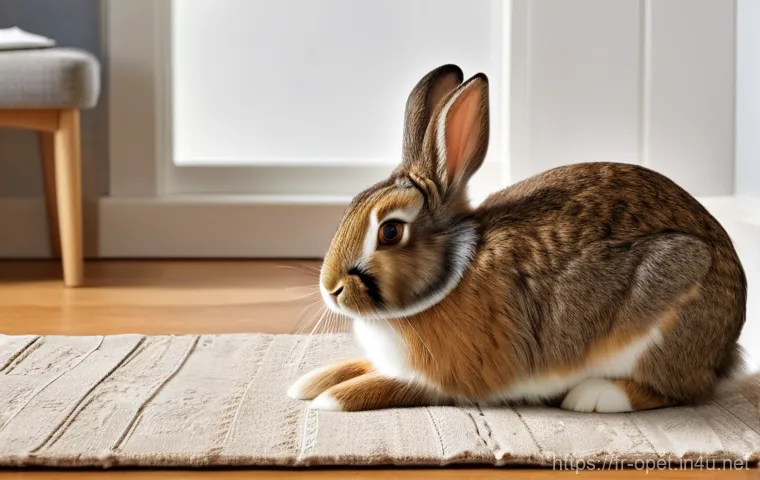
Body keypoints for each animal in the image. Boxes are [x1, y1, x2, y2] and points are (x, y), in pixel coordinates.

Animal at [287, 64, 749, 413]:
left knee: (678, 391)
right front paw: (308, 383)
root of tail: (727, 346)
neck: (450, 276)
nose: (331, 289)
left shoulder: (444, 379)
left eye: (390, 231)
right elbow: (357, 366)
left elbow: (389, 386)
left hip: (662, 313)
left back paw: (594, 396)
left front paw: (330, 400)